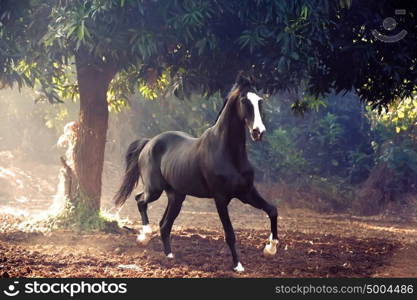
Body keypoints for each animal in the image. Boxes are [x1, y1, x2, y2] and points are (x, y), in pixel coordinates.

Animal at [114, 74, 276, 272]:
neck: (228, 153)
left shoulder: (246, 193)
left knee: (164, 224)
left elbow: (272, 210)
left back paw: (169, 255)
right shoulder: (221, 198)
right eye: (244, 101)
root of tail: (149, 142)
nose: (258, 132)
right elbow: (230, 233)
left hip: (176, 196)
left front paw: (270, 249)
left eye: (260, 101)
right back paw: (144, 236)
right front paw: (238, 266)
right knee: (140, 200)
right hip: (154, 190)